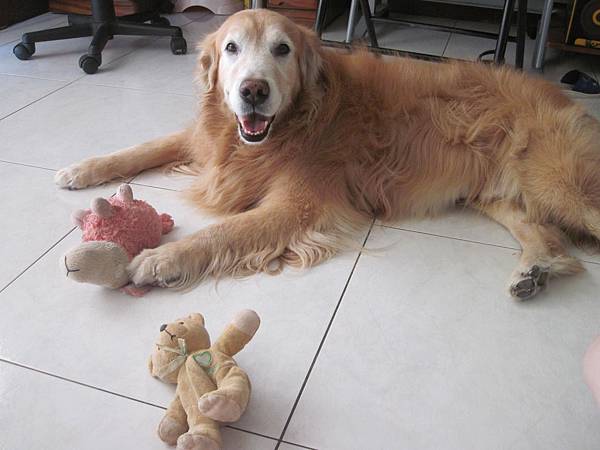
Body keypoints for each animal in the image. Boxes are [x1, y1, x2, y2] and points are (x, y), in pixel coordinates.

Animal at [55, 7, 600, 298]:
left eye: (282, 50)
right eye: (231, 48)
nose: (253, 92)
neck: (291, 124)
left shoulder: (297, 206)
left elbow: (219, 233)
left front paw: (158, 259)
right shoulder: (207, 140)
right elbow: (142, 147)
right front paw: (81, 168)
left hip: (561, 184)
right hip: (499, 194)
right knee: (546, 235)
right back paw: (535, 271)